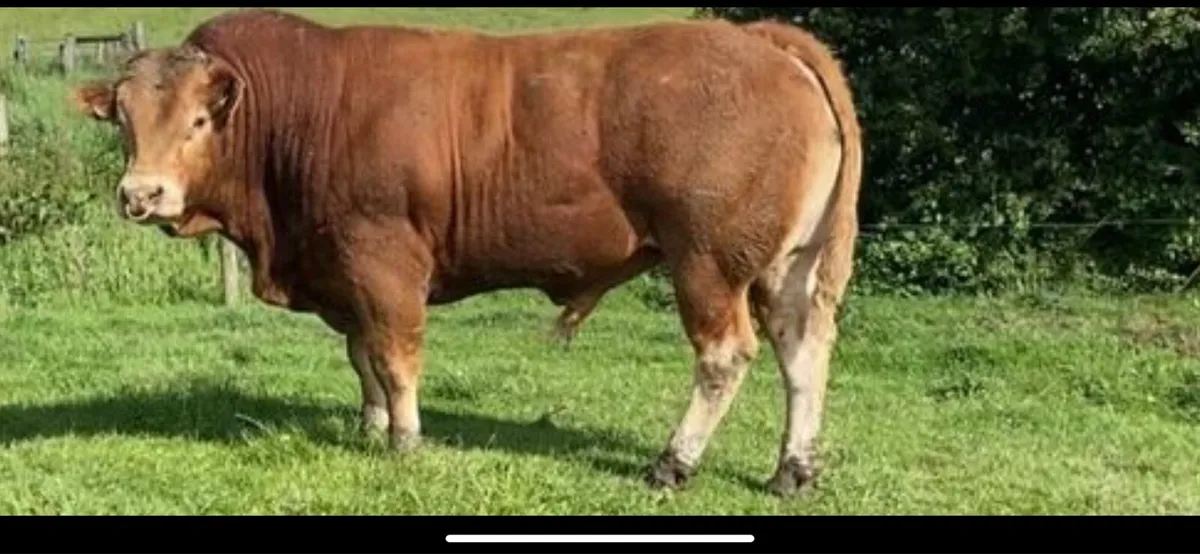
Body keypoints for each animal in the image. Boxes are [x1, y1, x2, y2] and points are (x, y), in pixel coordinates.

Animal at [70, 8, 862, 497]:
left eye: (200, 120)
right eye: (123, 121)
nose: (141, 194)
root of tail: (761, 39)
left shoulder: (383, 257)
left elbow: (394, 355)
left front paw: (405, 438)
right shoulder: (345, 271)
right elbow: (361, 356)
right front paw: (371, 425)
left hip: (706, 260)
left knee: (725, 356)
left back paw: (673, 462)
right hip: (786, 265)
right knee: (802, 350)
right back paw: (793, 470)